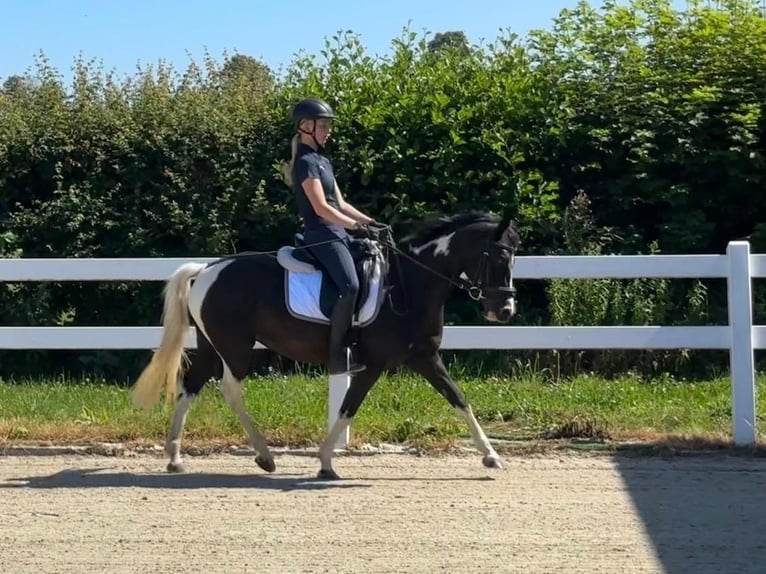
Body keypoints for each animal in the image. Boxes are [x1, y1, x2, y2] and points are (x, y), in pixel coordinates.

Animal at [132, 212, 520, 482]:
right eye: (500, 257)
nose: (505, 310)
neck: (408, 284)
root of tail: (208, 269)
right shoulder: (373, 364)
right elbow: (348, 408)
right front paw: (326, 463)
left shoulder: (424, 357)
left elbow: (459, 399)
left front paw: (491, 455)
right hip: (235, 348)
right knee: (230, 390)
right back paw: (264, 455)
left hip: (212, 348)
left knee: (190, 388)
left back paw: (175, 458)